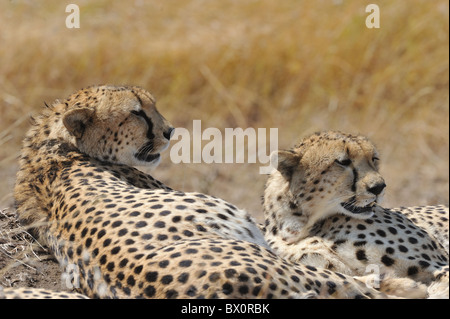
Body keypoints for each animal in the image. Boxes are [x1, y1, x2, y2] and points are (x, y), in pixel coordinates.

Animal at [13, 85, 386, 300]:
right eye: (137, 113)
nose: (169, 130)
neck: (53, 144)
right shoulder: (258, 233)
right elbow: (285, 237)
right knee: (351, 284)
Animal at [262, 131, 448, 300]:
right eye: (343, 162)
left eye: (374, 159)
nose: (379, 187)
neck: (300, 227)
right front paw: (402, 285)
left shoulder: (439, 264)